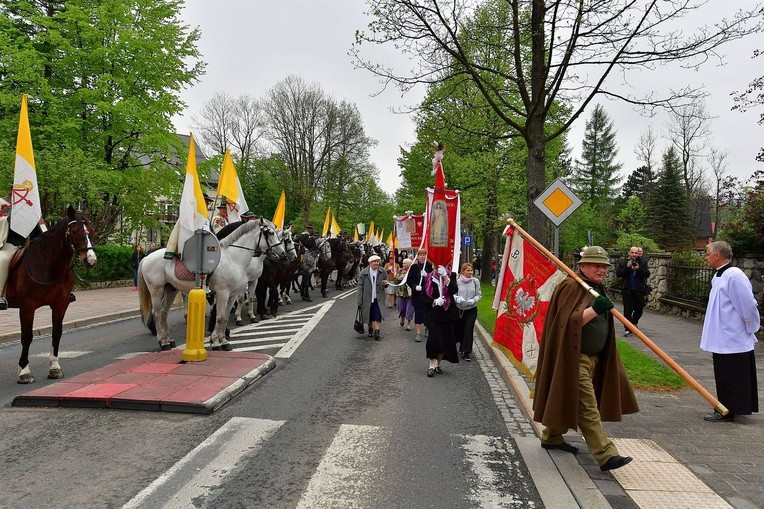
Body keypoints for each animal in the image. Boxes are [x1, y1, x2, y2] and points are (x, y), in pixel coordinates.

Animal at [7, 205, 97, 380]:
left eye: (91, 229)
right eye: (74, 231)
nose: (90, 260)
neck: (48, 265)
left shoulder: (60, 304)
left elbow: (57, 333)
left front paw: (55, 367)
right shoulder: (27, 307)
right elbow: (26, 337)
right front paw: (24, 370)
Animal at [137, 216, 284, 352]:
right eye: (270, 232)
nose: (282, 253)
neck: (233, 258)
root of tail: (146, 257)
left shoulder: (232, 295)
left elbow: (225, 318)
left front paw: (224, 341)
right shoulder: (222, 293)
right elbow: (219, 317)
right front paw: (216, 342)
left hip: (170, 290)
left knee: (163, 313)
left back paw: (169, 340)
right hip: (156, 291)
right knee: (157, 314)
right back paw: (163, 342)